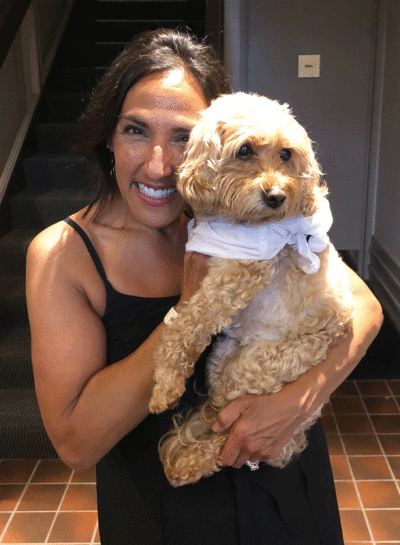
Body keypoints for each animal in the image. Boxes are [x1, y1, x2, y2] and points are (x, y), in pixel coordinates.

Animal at [148, 92, 354, 484]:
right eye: (244, 150)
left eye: (286, 154)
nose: (276, 196)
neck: (237, 221)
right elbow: (184, 321)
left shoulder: (242, 271)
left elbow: (187, 325)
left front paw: (165, 385)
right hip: (222, 358)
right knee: (214, 415)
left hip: (258, 369)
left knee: (229, 433)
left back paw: (186, 461)